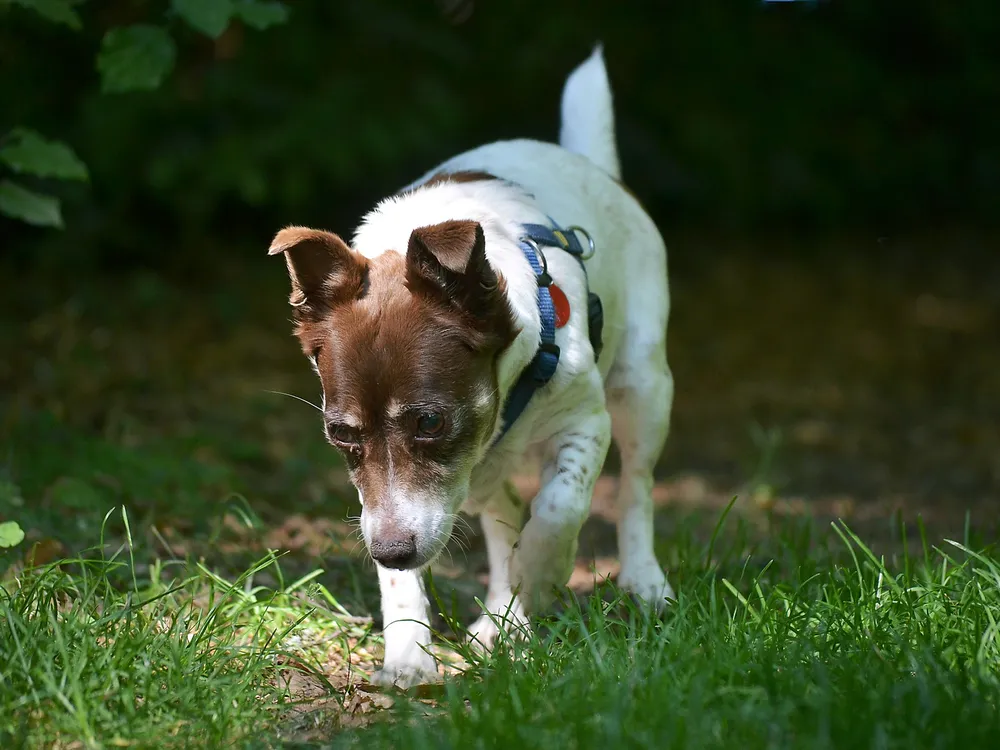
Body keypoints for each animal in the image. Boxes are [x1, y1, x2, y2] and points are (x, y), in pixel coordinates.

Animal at [268, 42, 672, 688]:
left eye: (430, 421)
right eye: (340, 434)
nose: (391, 551)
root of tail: (581, 158)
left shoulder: (585, 421)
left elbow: (558, 507)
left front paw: (542, 575)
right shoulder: (391, 502)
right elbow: (415, 563)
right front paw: (408, 653)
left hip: (643, 385)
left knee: (636, 485)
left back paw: (642, 582)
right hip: (478, 481)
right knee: (502, 511)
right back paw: (504, 619)